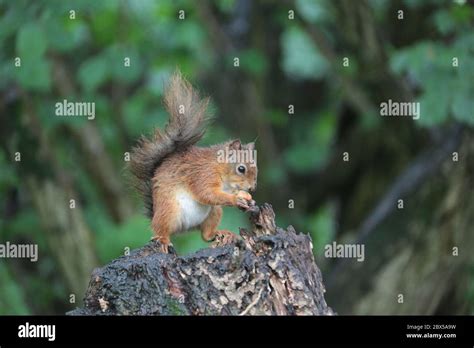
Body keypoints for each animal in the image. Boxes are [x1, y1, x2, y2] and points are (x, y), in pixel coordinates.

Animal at [130, 71, 258, 253]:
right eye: (241, 169)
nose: (252, 188)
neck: (220, 169)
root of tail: (185, 229)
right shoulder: (202, 175)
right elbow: (206, 193)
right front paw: (236, 200)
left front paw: (249, 201)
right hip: (169, 210)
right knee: (160, 229)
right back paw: (163, 240)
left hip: (214, 212)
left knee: (205, 235)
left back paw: (222, 233)